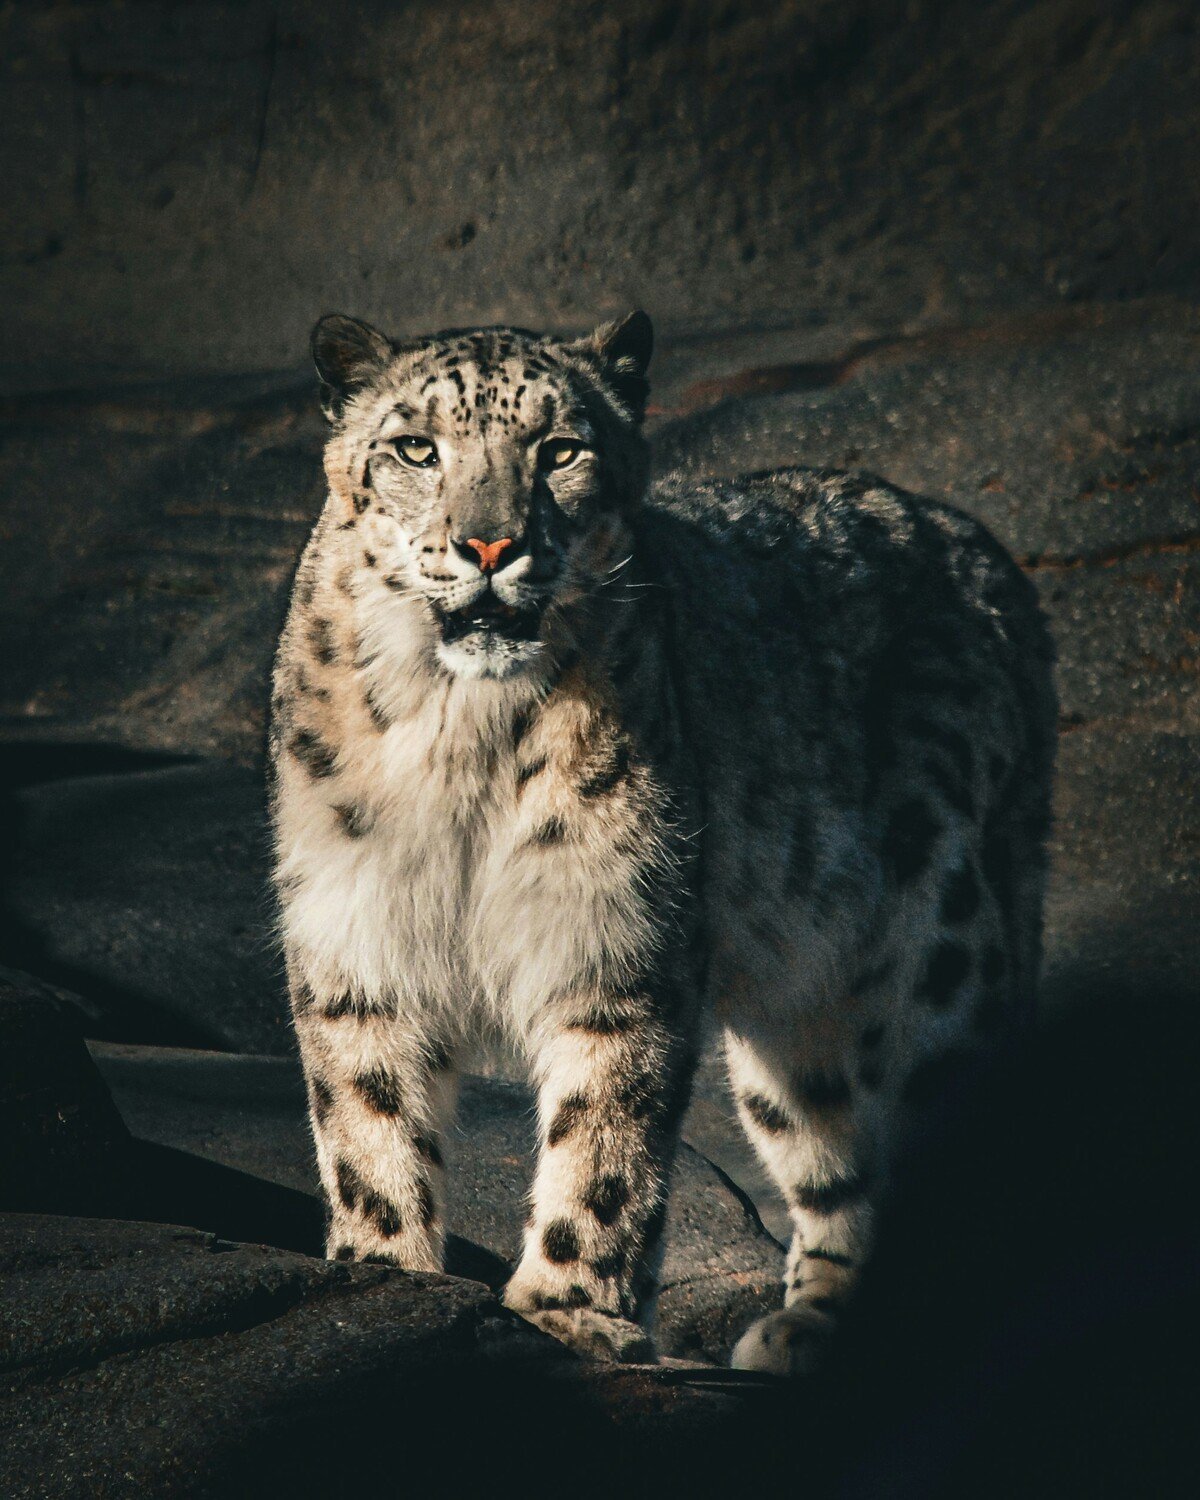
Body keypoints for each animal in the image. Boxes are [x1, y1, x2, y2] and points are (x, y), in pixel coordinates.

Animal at [268, 308, 1056, 1373]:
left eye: (561, 449)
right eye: (415, 448)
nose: (490, 543)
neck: (462, 735)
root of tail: (982, 550)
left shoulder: (616, 932)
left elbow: (604, 1144)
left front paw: (567, 1308)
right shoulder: (357, 926)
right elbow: (368, 1119)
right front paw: (384, 1272)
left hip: (941, 946)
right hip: (800, 1019)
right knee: (835, 1149)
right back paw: (810, 1330)